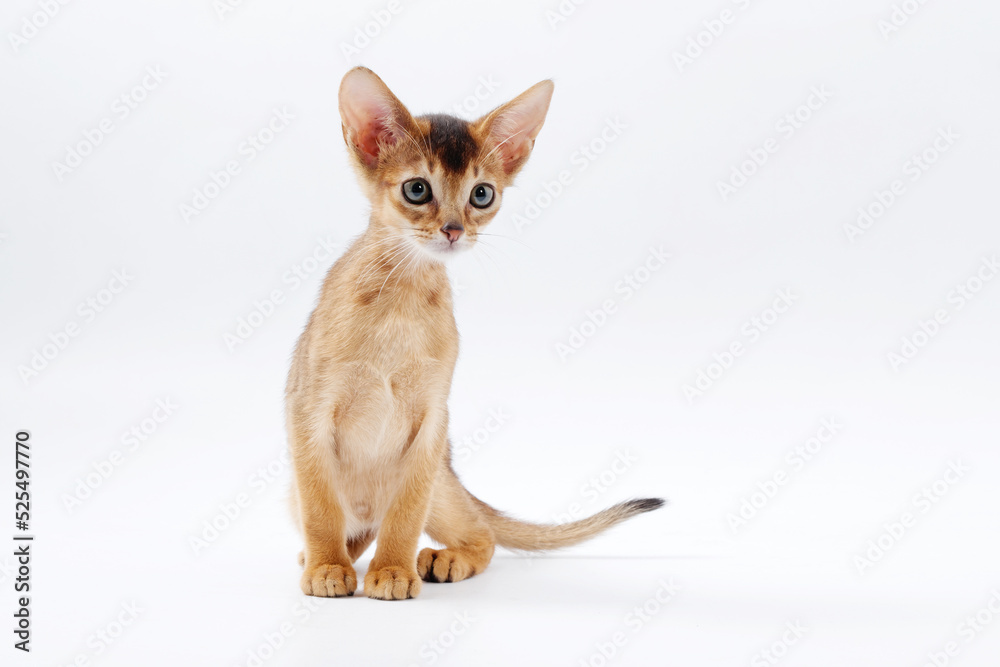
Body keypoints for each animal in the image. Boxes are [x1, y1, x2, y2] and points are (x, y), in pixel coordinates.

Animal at [288, 66, 664, 600]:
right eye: (417, 189)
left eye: (481, 194)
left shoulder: (431, 422)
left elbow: (406, 515)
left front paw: (394, 570)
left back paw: (440, 559)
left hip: (441, 487)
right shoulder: (310, 413)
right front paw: (325, 567)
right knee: (353, 528)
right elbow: (320, 506)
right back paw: (326, 556)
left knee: (478, 532)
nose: (453, 230)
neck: (400, 304)